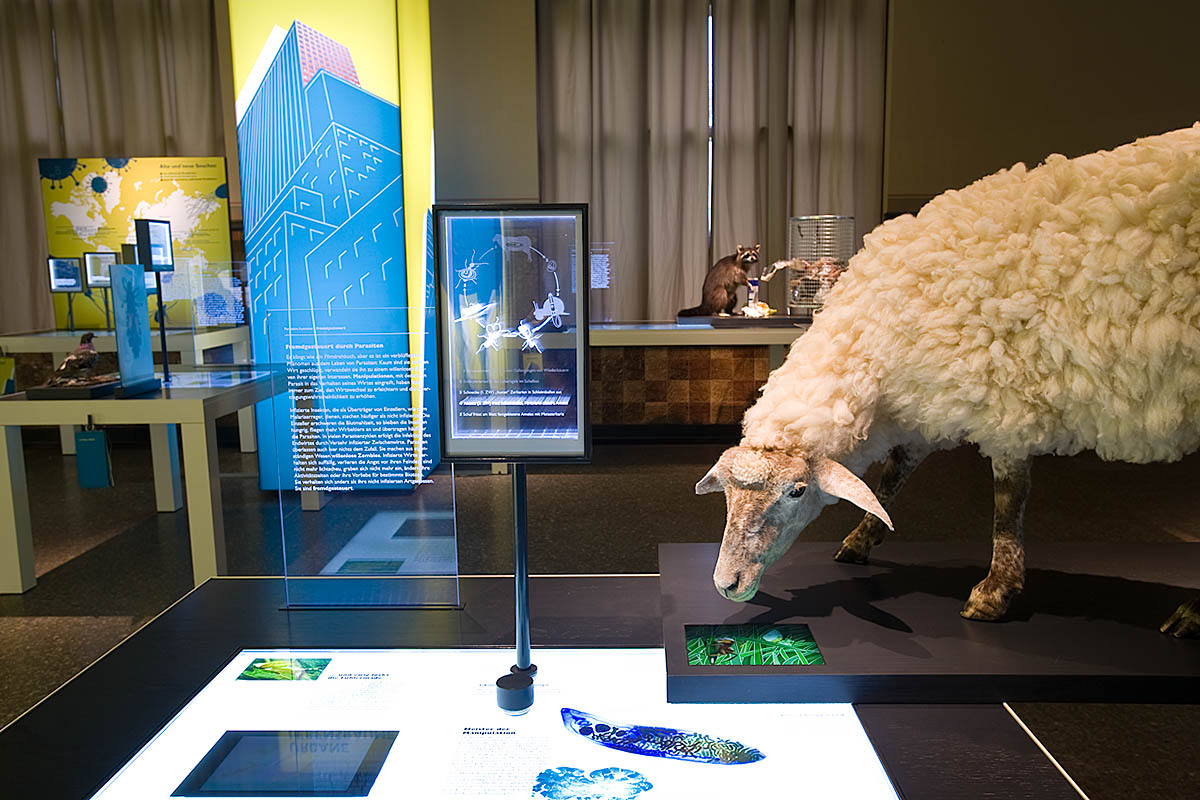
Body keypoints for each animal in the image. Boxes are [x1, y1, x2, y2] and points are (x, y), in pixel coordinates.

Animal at [700, 125, 1200, 638]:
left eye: (797, 491)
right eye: (727, 495)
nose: (725, 584)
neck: (876, 331)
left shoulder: (1006, 403)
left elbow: (1007, 501)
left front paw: (995, 591)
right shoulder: (921, 403)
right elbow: (893, 477)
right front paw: (861, 539)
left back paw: (1190, 614)